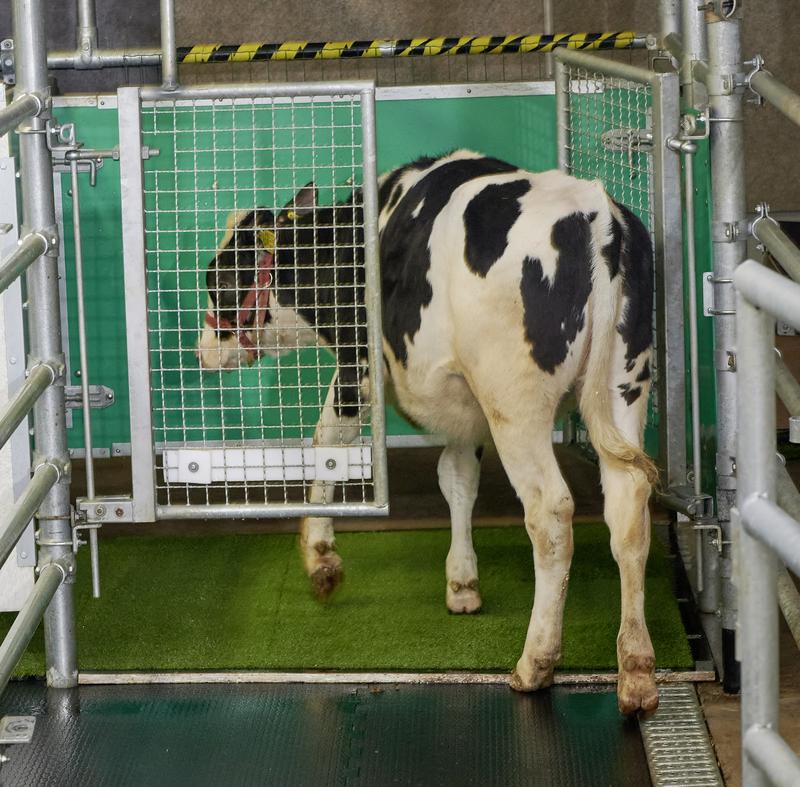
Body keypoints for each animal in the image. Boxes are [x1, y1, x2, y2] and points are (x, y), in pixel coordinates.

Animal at [197, 148, 660, 716]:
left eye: (219, 279)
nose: (202, 349)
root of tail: (597, 215)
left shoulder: (358, 366)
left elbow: (328, 442)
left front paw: (320, 557)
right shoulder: (463, 406)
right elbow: (457, 478)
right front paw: (462, 583)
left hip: (515, 401)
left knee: (550, 514)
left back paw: (536, 662)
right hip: (624, 384)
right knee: (628, 507)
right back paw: (635, 669)